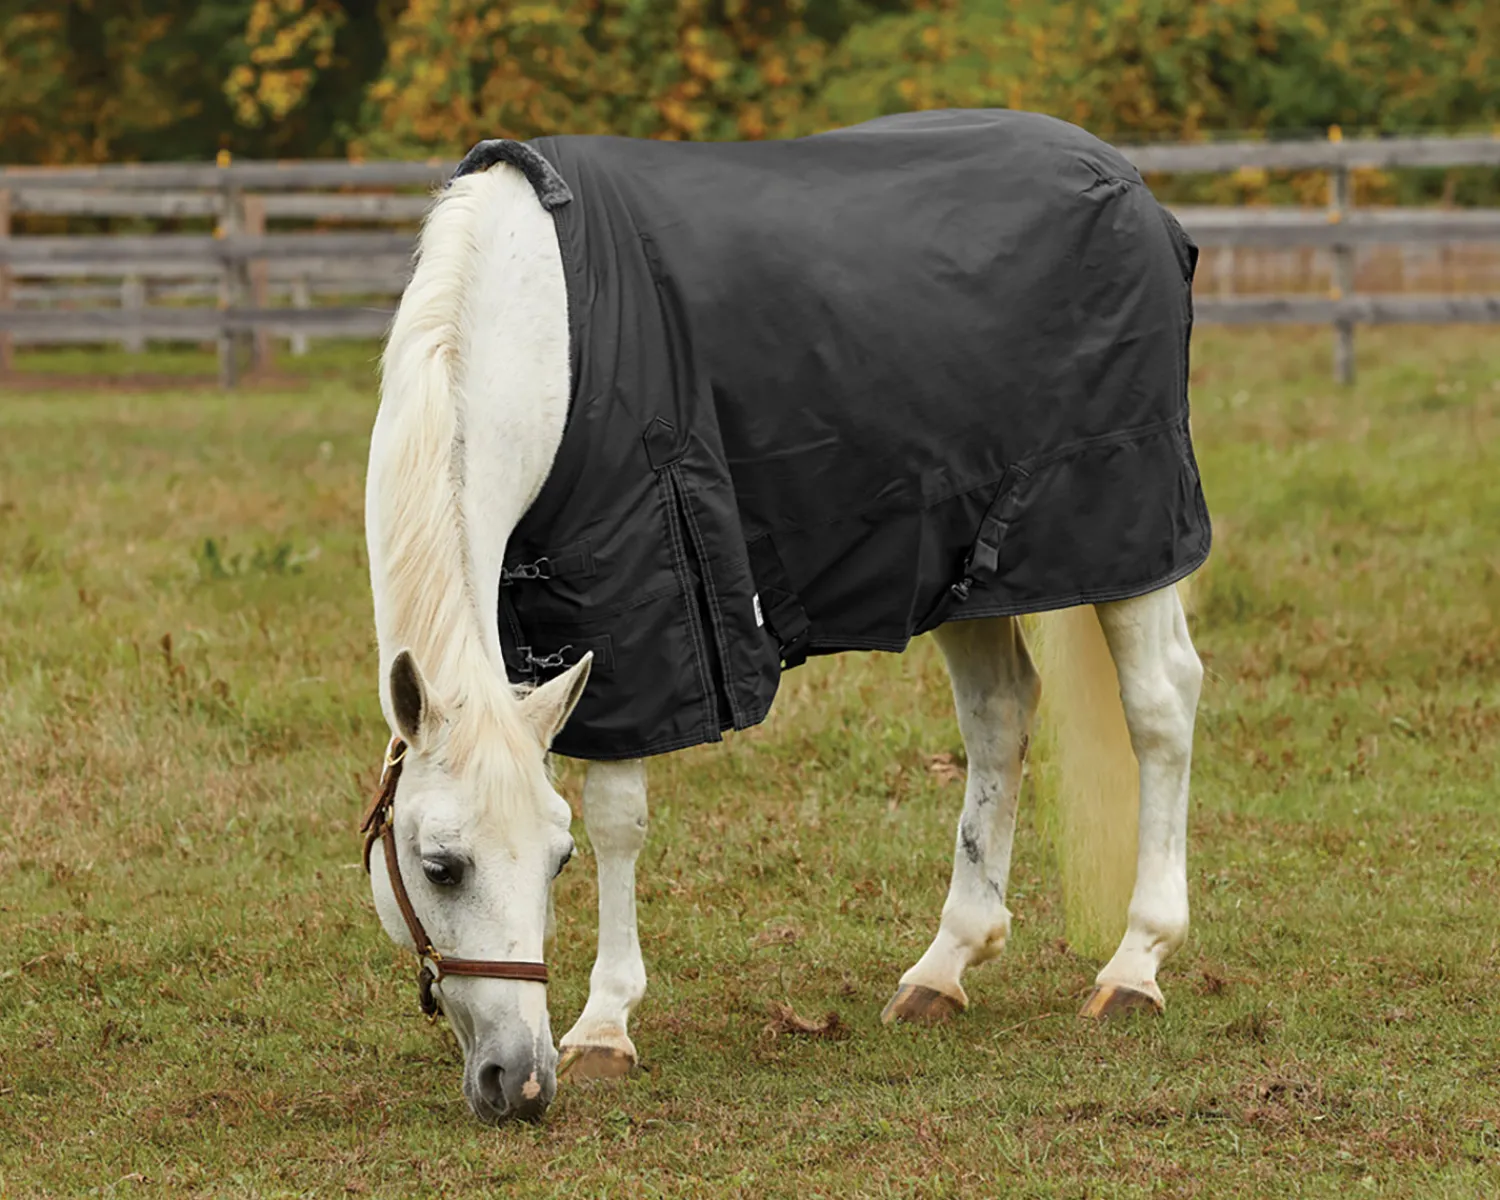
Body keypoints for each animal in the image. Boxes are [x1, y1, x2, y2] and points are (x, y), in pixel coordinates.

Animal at [364, 110, 1207, 1124]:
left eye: (557, 861)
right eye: (440, 866)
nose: (519, 1082)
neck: (543, 332)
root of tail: (1130, 185)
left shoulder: (641, 611)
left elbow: (618, 818)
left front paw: (605, 1027)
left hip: (1129, 533)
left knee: (1160, 706)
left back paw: (1135, 964)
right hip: (961, 556)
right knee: (1001, 716)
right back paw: (944, 966)